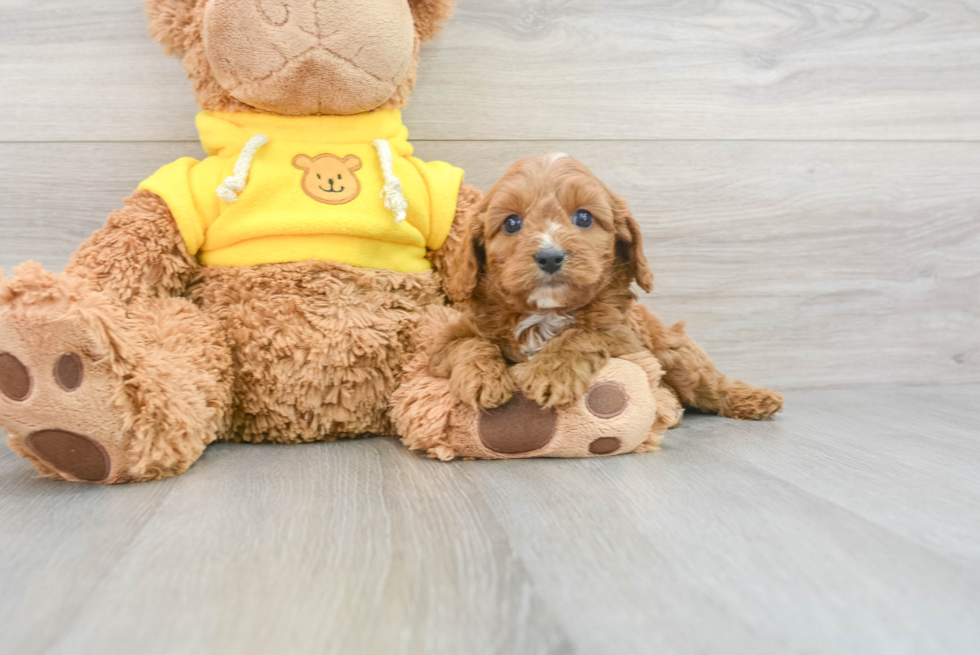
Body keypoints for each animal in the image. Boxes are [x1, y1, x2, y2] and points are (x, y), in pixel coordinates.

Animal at [432, 154, 784, 420]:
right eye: (511, 223)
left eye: (584, 218)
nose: (550, 256)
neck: (545, 312)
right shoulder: (440, 345)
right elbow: (467, 343)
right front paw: (481, 379)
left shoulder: (625, 338)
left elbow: (583, 334)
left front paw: (550, 373)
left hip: (675, 354)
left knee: (710, 384)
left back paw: (756, 399)